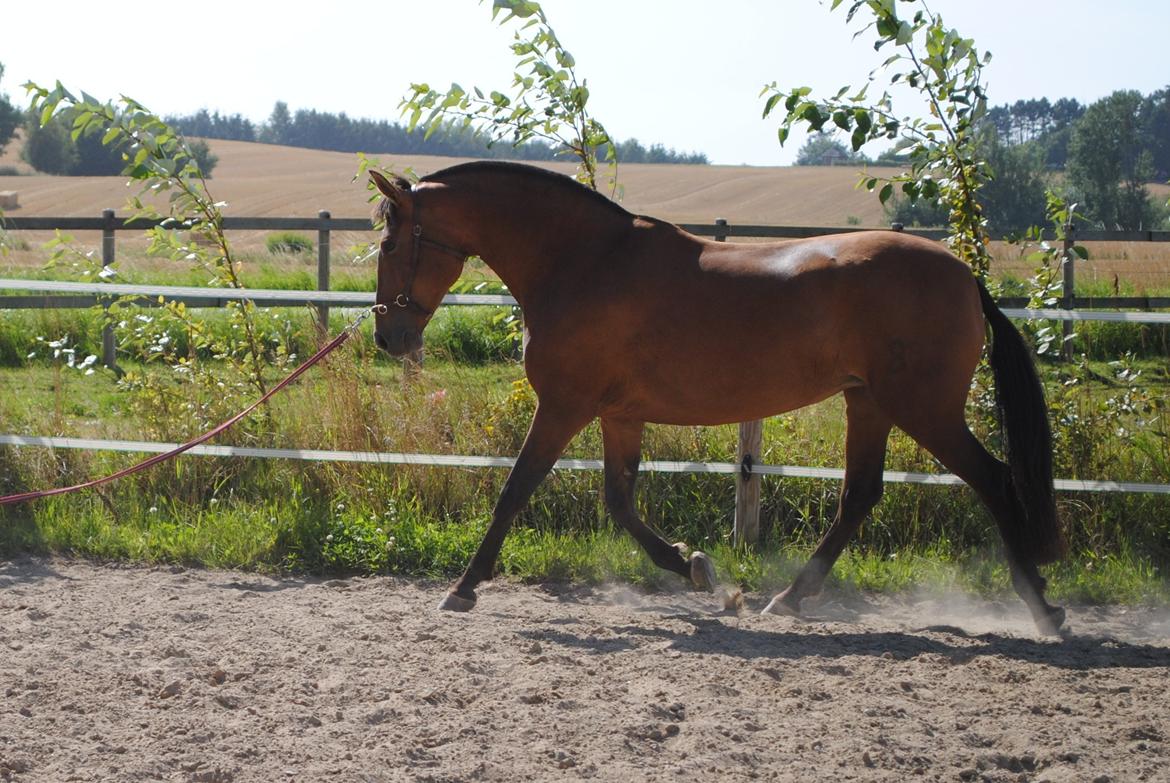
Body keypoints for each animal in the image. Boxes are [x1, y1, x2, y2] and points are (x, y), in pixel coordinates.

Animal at [369, 163, 1067, 636]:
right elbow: (619, 503)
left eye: (389, 243)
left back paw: (1042, 605)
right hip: (869, 403)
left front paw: (463, 588)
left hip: (924, 408)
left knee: (993, 480)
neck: (584, 263)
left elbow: (515, 489)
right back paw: (790, 597)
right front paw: (701, 573)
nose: (387, 336)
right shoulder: (619, 414)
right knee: (860, 495)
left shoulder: (565, 405)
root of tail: (963, 273)